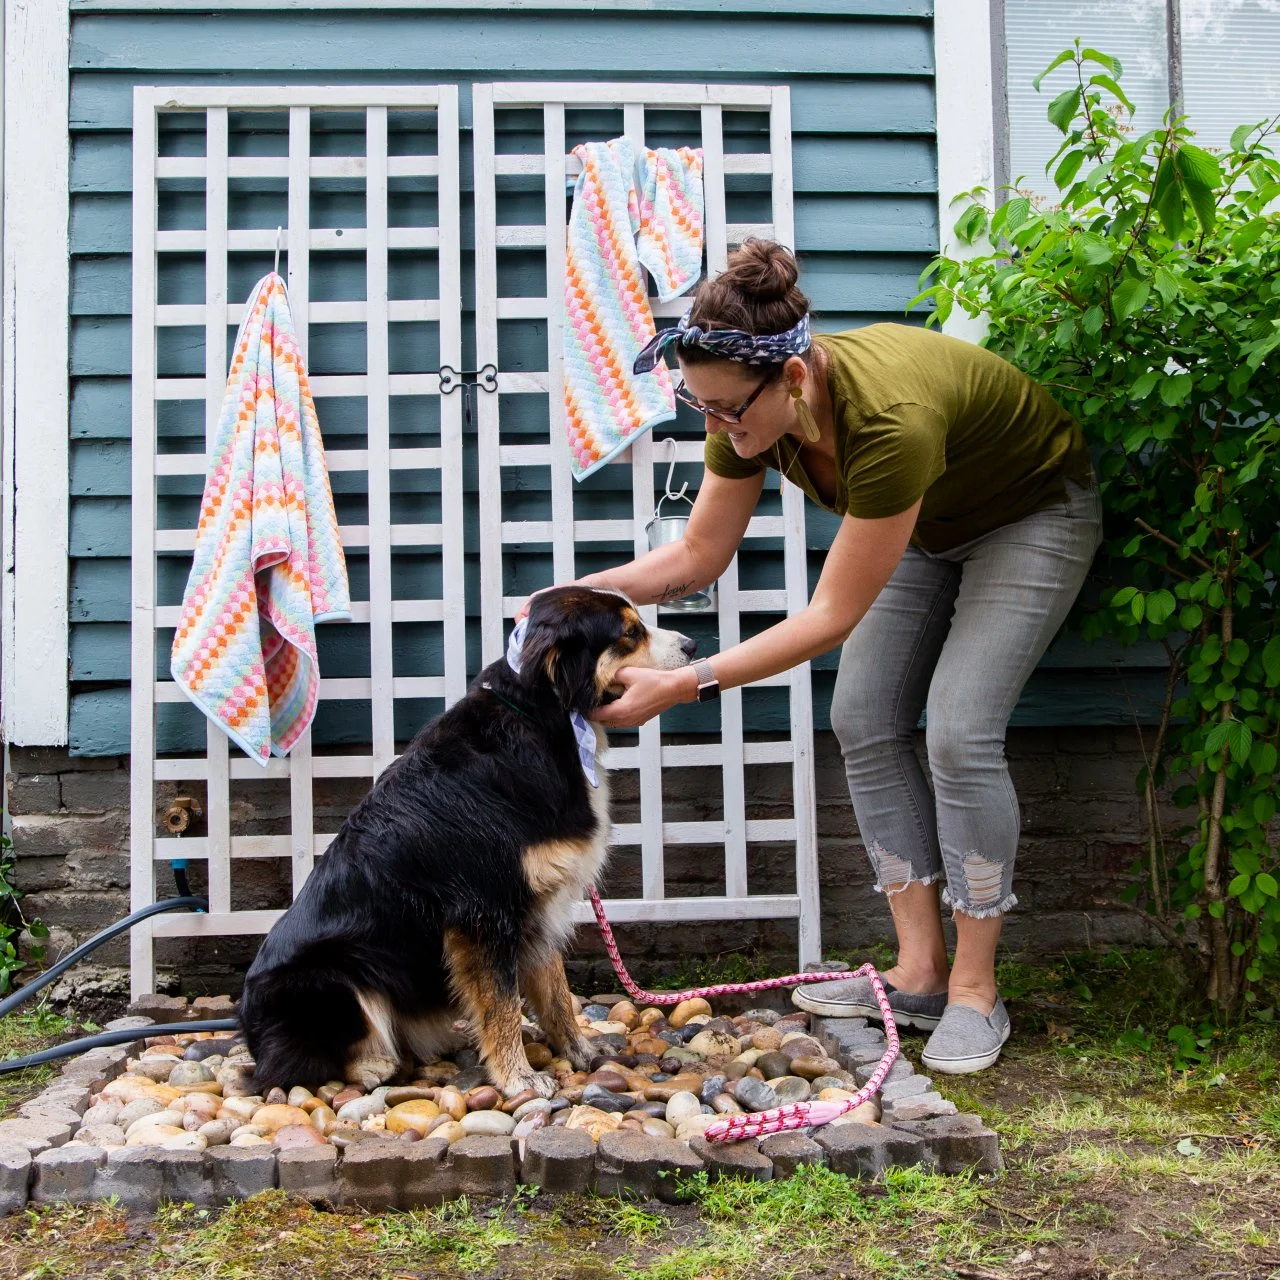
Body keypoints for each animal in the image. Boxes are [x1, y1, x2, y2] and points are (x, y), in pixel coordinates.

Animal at [240, 588, 701, 1100]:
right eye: (629, 632)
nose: (694, 645)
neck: (541, 719)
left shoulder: (539, 906)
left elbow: (555, 992)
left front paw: (579, 1052)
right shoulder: (483, 912)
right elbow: (501, 1003)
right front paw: (519, 1077)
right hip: (328, 977)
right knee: (289, 1068)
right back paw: (374, 1065)